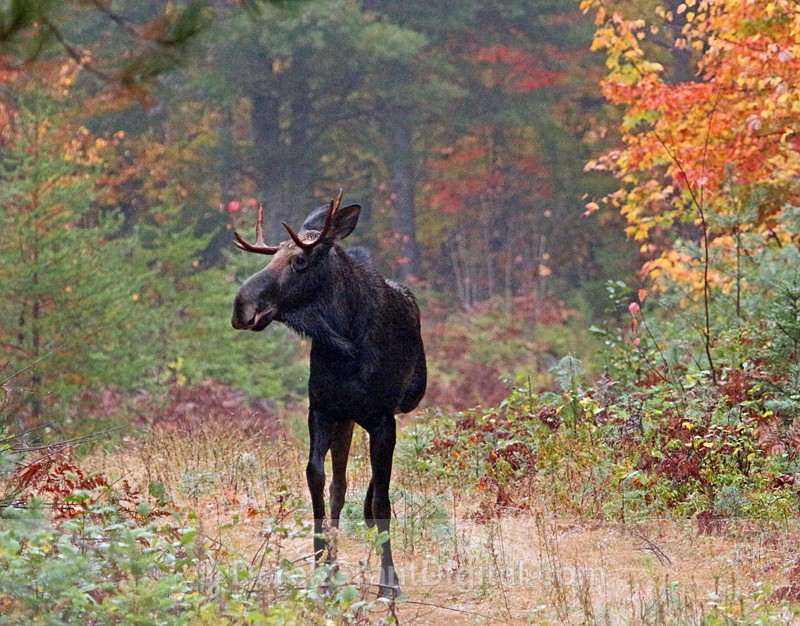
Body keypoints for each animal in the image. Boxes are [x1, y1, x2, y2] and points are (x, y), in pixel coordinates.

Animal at [231, 191, 426, 598]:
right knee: (340, 485)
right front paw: (322, 568)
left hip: (392, 408)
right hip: (345, 419)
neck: (345, 343)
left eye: (300, 260)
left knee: (372, 485)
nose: (242, 307)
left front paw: (389, 582)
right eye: (271, 256)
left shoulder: (382, 417)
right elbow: (317, 478)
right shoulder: (322, 409)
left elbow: (383, 498)